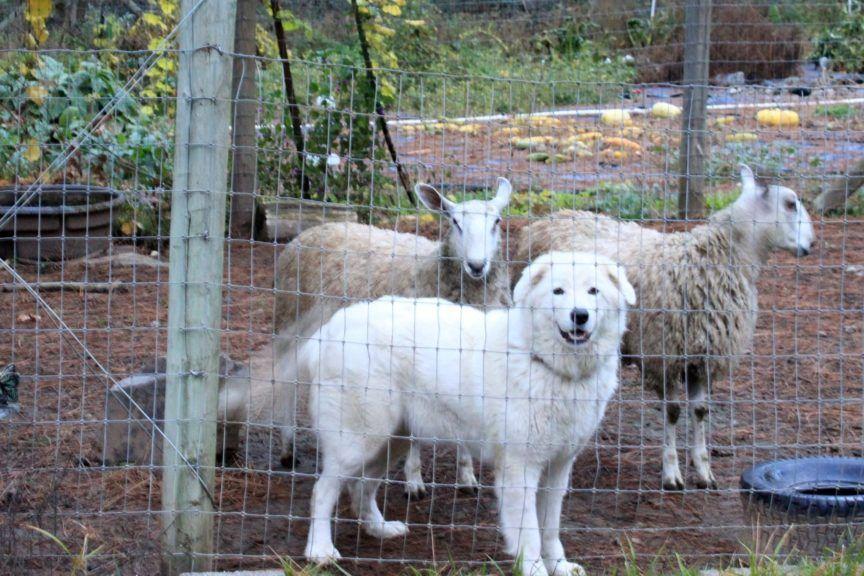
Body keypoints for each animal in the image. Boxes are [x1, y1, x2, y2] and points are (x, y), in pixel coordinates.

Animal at [276, 176, 512, 496]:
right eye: (454, 222)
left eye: (497, 221)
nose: (477, 265)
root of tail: (313, 229)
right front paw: (414, 481)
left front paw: (467, 476)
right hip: (290, 322)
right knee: (285, 383)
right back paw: (287, 448)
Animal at [296, 253, 636, 576]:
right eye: (558, 291)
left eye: (593, 291)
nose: (580, 315)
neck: (544, 361)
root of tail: (329, 331)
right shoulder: (520, 469)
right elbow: (529, 533)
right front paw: (535, 569)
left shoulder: (558, 467)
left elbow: (550, 529)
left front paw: (559, 566)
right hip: (358, 442)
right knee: (322, 491)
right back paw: (320, 551)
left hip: (391, 441)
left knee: (361, 488)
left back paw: (380, 529)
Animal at [512, 166, 816, 490]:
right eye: (791, 204)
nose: (811, 244)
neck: (717, 260)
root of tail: (546, 219)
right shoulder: (665, 354)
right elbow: (672, 412)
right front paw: (672, 474)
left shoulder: (702, 357)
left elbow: (700, 410)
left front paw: (703, 470)